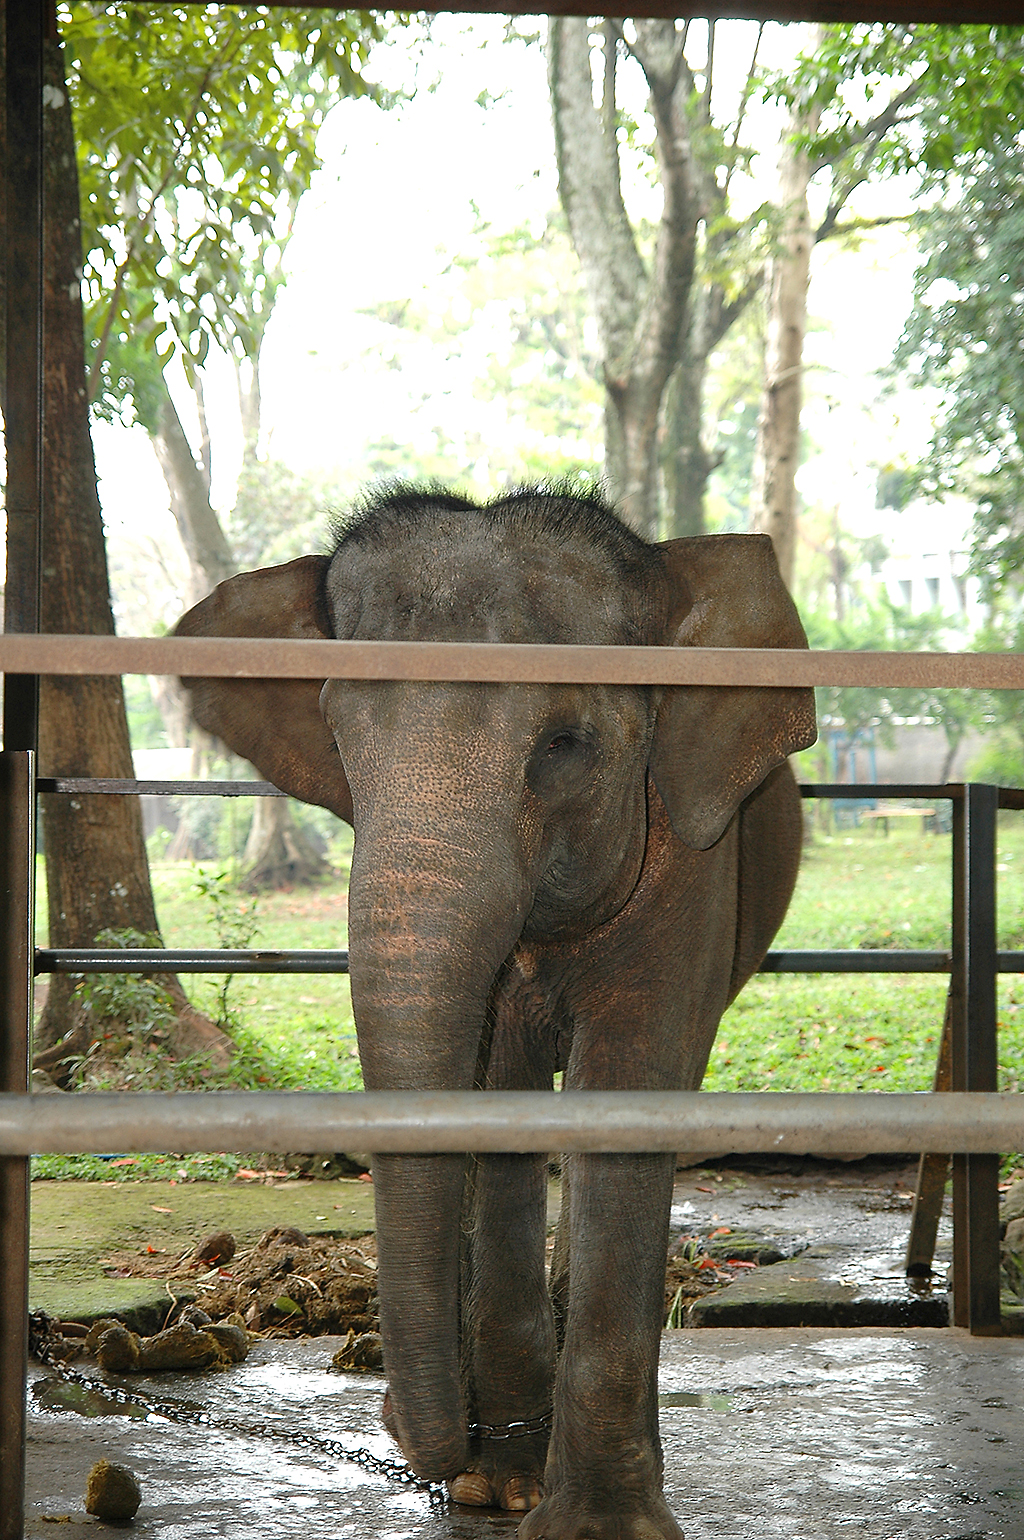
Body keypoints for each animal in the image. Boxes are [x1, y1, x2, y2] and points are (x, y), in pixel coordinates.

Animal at [175, 483, 813, 1540]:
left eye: (564, 746)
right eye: (340, 742)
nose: (400, 1428)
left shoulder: (690, 860)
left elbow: (629, 1090)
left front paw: (596, 1525)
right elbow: (495, 1096)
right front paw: (501, 1489)